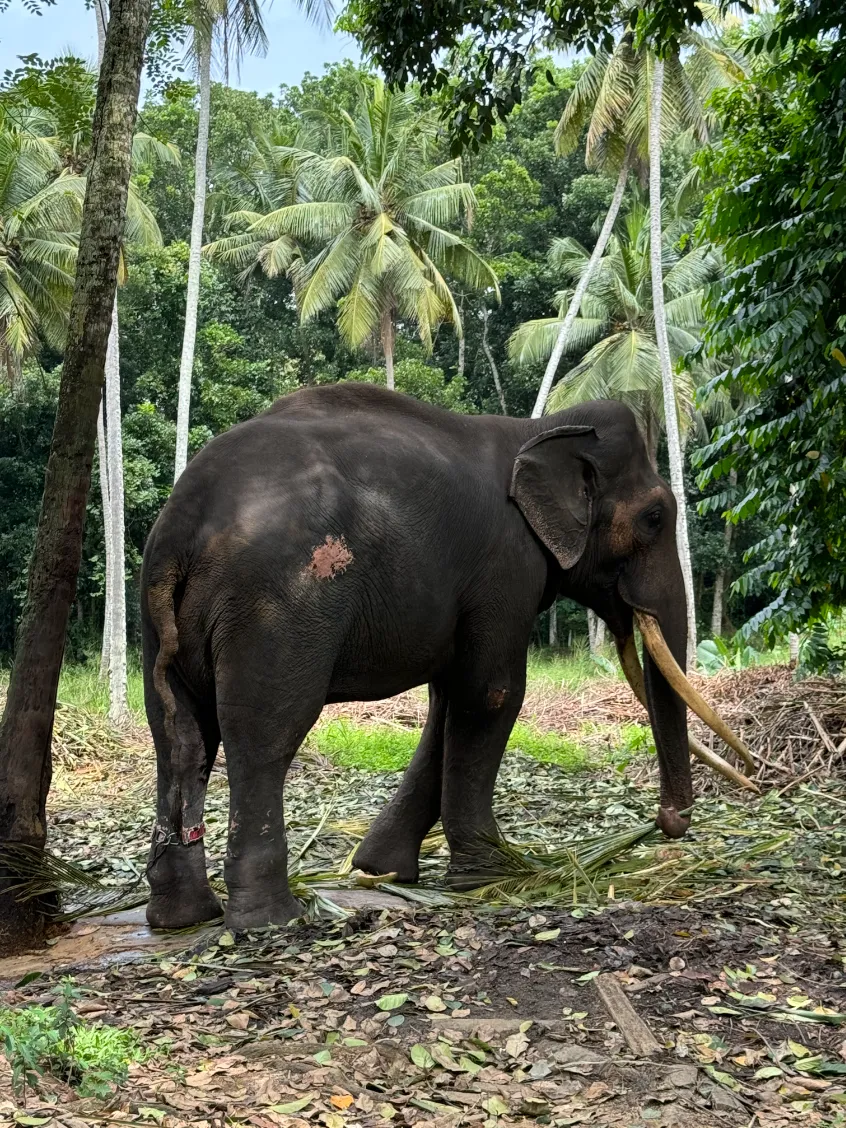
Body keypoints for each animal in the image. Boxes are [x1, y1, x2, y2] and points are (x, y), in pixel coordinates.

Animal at [140, 383, 750, 931]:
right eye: (655, 518)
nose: (668, 822)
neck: (538, 429)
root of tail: (184, 521)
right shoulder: (508, 565)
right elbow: (492, 693)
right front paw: (490, 874)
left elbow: (448, 700)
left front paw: (382, 869)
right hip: (278, 605)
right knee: (264, 732)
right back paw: (272, 921)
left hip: (162, 613)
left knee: (180, 735)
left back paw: (183, 918)